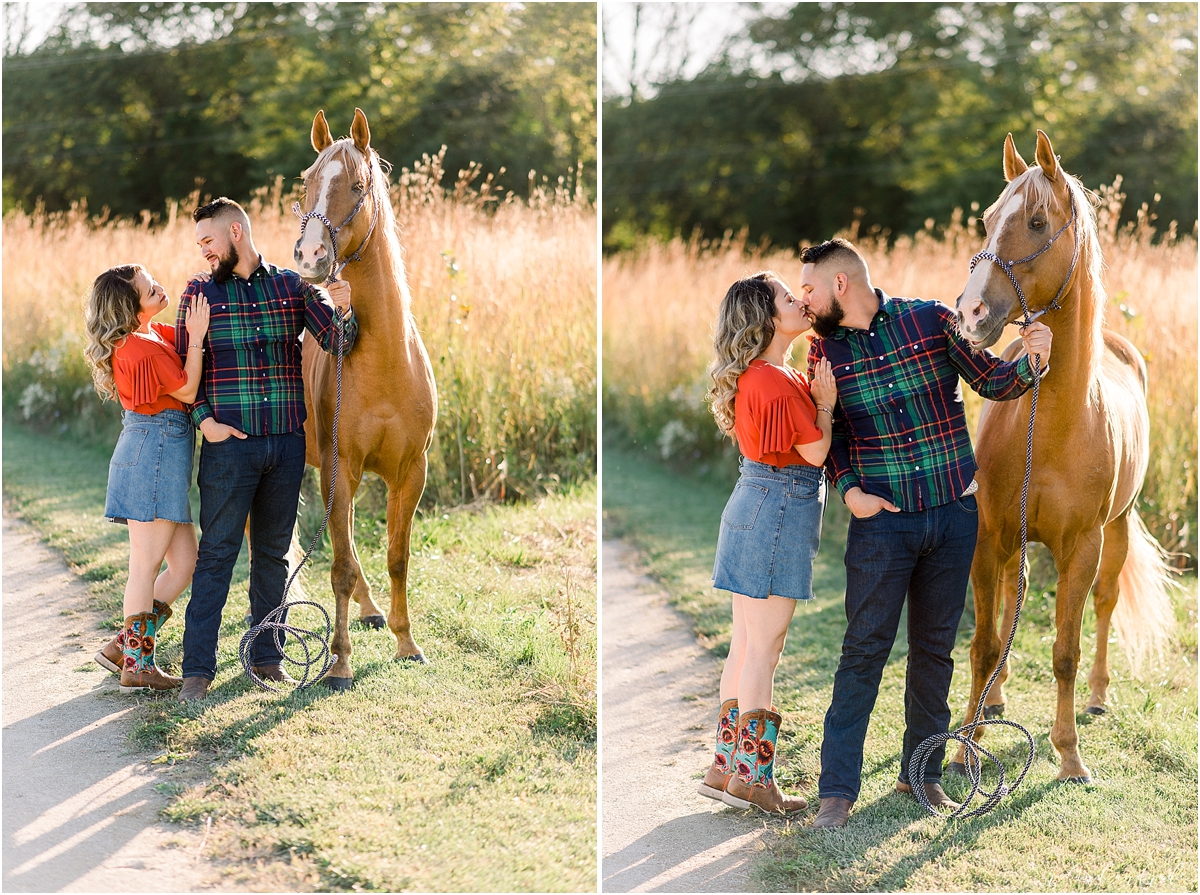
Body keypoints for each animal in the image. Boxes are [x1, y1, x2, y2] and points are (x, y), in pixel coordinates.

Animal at [292, 107, 439, 686]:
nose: (310, 255)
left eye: (357, 186)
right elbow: (339, 565)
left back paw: (372, 609)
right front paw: (338, 662)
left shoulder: (410, 471)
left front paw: (406, 642)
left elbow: (396, 555)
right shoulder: (340, 467)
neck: (383, 363)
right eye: (306, 183)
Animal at [945, 128, 1171, 777]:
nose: (969, 313)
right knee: (1009, 599)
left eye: (1037, 221)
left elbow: (1065, 649)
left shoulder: (1082, 549)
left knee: (1106, 603)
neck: (1055, 426)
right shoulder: (989, 535)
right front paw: (966, 744)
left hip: (1117, 530)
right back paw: (995, 699)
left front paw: (1069, 755)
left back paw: (1096, 697)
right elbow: (984, 643)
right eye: (988, 218)